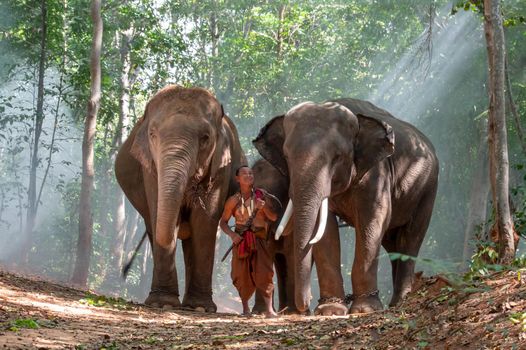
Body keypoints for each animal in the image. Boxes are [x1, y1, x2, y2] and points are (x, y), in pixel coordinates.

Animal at [115, 86, 245, 310]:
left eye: (205, 137)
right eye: (152, 134)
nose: (124, 270)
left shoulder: (221, 168)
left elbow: (204, 223)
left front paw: (200, 307)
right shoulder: (150, 169)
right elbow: (159, 213)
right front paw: (163, 304)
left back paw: (191, 305)